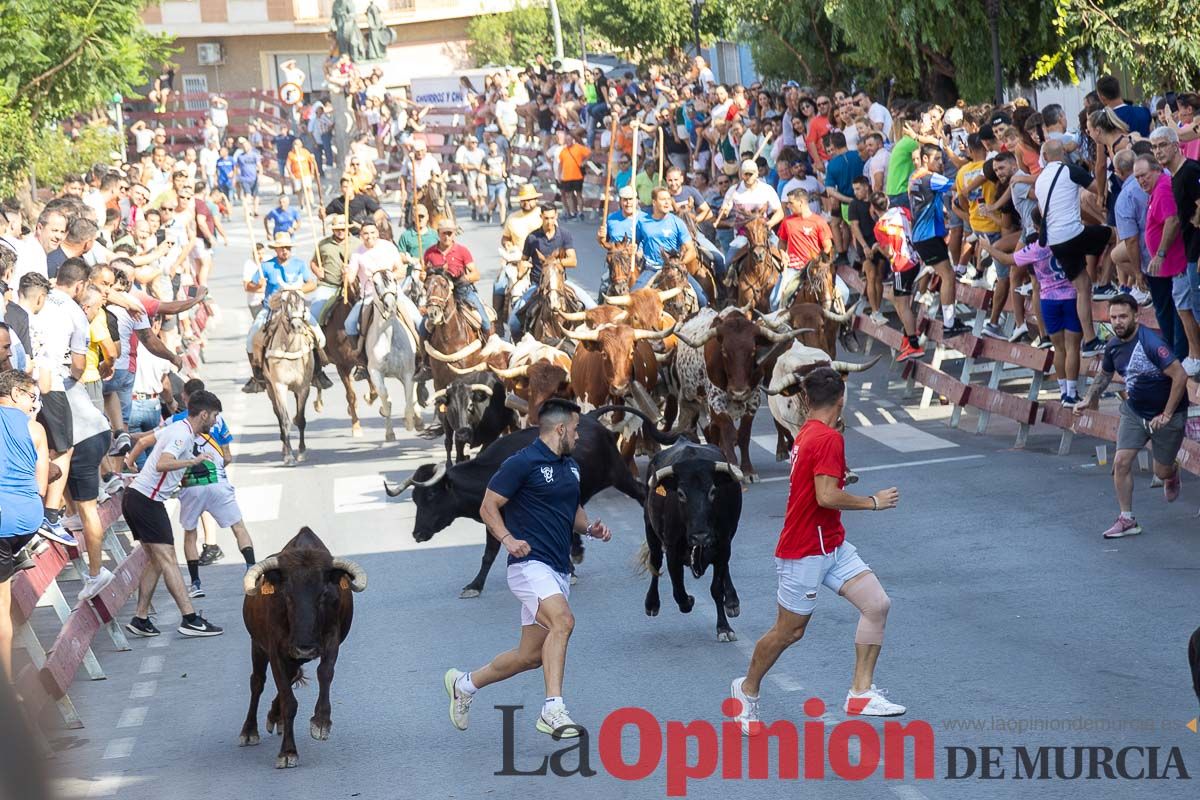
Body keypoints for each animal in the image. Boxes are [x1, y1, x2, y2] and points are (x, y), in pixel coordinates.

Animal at [235, 525, 362, 767]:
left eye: (324, 594)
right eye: (287, 595)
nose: (306, 647)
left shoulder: (331, 639)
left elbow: (325, 672)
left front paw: (321, 722)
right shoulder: (275, 650)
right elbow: (288, 701)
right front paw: (288, 752)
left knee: (291, 677)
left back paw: (274, 718)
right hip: (258, 646)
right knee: (257, 682)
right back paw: (249, 731)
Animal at [261, 291, 319, 465]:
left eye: (302, 300)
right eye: (283, 301)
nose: (297, 325)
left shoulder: (303, 387)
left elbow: (300, 419)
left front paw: (302, 452)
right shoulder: (279, 386)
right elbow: (285, 420)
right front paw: (289, 456)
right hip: (270, 388)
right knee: (279, 416)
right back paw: (285, 449)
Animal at [364, 272, 422, 441]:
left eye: (394, 280)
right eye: (375, 284)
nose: (390, 306)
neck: (388, 336)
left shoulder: (408, 372)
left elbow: (409, 399)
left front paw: (409, 422)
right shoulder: (375, 372)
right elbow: (385, 397)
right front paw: (389, 433)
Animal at [388, 402, 681, 597]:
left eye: (431, 495)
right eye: (415, 499)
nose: (417, 534)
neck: (489, 475)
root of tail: (592, 418)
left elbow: (489, 553)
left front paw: (475, 585)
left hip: (618, 474)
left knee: (642, 494)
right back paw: (576, 554)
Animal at [643, 441, 744, 642]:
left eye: (713, 491)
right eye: (681, 494)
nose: (700, 536)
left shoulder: (723, 543)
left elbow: (716, 588)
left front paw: (723, 627)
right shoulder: (672, 548)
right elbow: (678, 590)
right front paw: (689, 601)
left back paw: (732, 601)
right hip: (650, 528)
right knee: (655, 562)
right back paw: (652, 603)